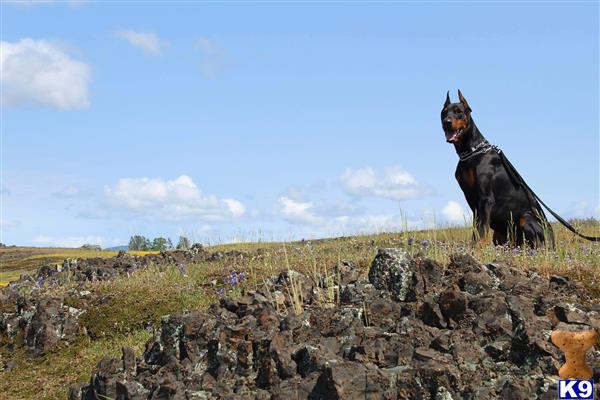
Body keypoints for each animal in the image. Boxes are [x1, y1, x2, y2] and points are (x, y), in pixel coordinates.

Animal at [440, 90, 600, 247]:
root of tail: (553, 242)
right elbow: (476, 230)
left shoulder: (485, 199)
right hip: (500, 234)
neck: (472, 150)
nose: (447, 122)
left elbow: (480, 232)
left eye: (459, 112)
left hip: (526, 217)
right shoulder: (473, 201)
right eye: (444, 112)